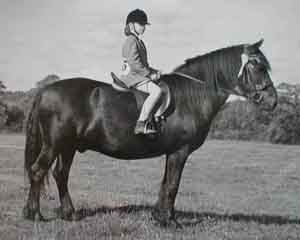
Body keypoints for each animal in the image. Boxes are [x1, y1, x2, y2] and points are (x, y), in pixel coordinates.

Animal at [22, 39, 276, 227]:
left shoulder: (171, 152)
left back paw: (69, 214)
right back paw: (34, 214)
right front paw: (171, 221)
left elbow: (165, 183)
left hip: (69, 147)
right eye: (259, 66)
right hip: (55, 145)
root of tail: (44, 91)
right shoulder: (179, 151)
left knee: (60, 174)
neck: (192, 95)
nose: (273, 101)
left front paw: (159, 217)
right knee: (37, 171)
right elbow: (173, 185)